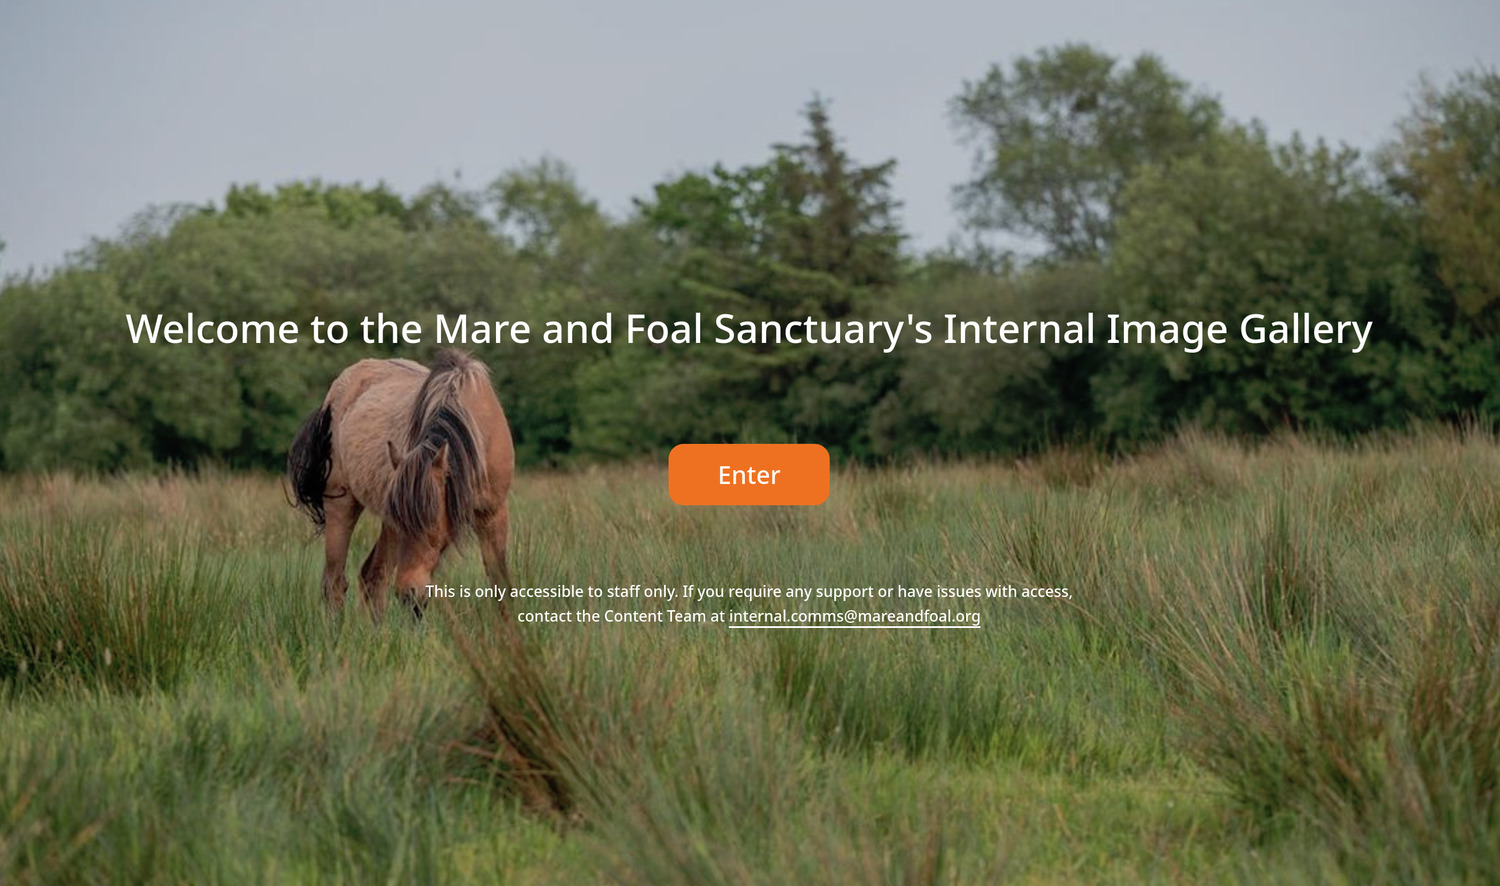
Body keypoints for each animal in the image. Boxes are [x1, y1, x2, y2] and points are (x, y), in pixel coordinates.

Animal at [286, 349, 515, 619]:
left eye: (431, 525)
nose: (408, 594)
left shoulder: (493, 514)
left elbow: (500, 584)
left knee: (370, 576)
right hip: (343, 506)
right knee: (340, 581)